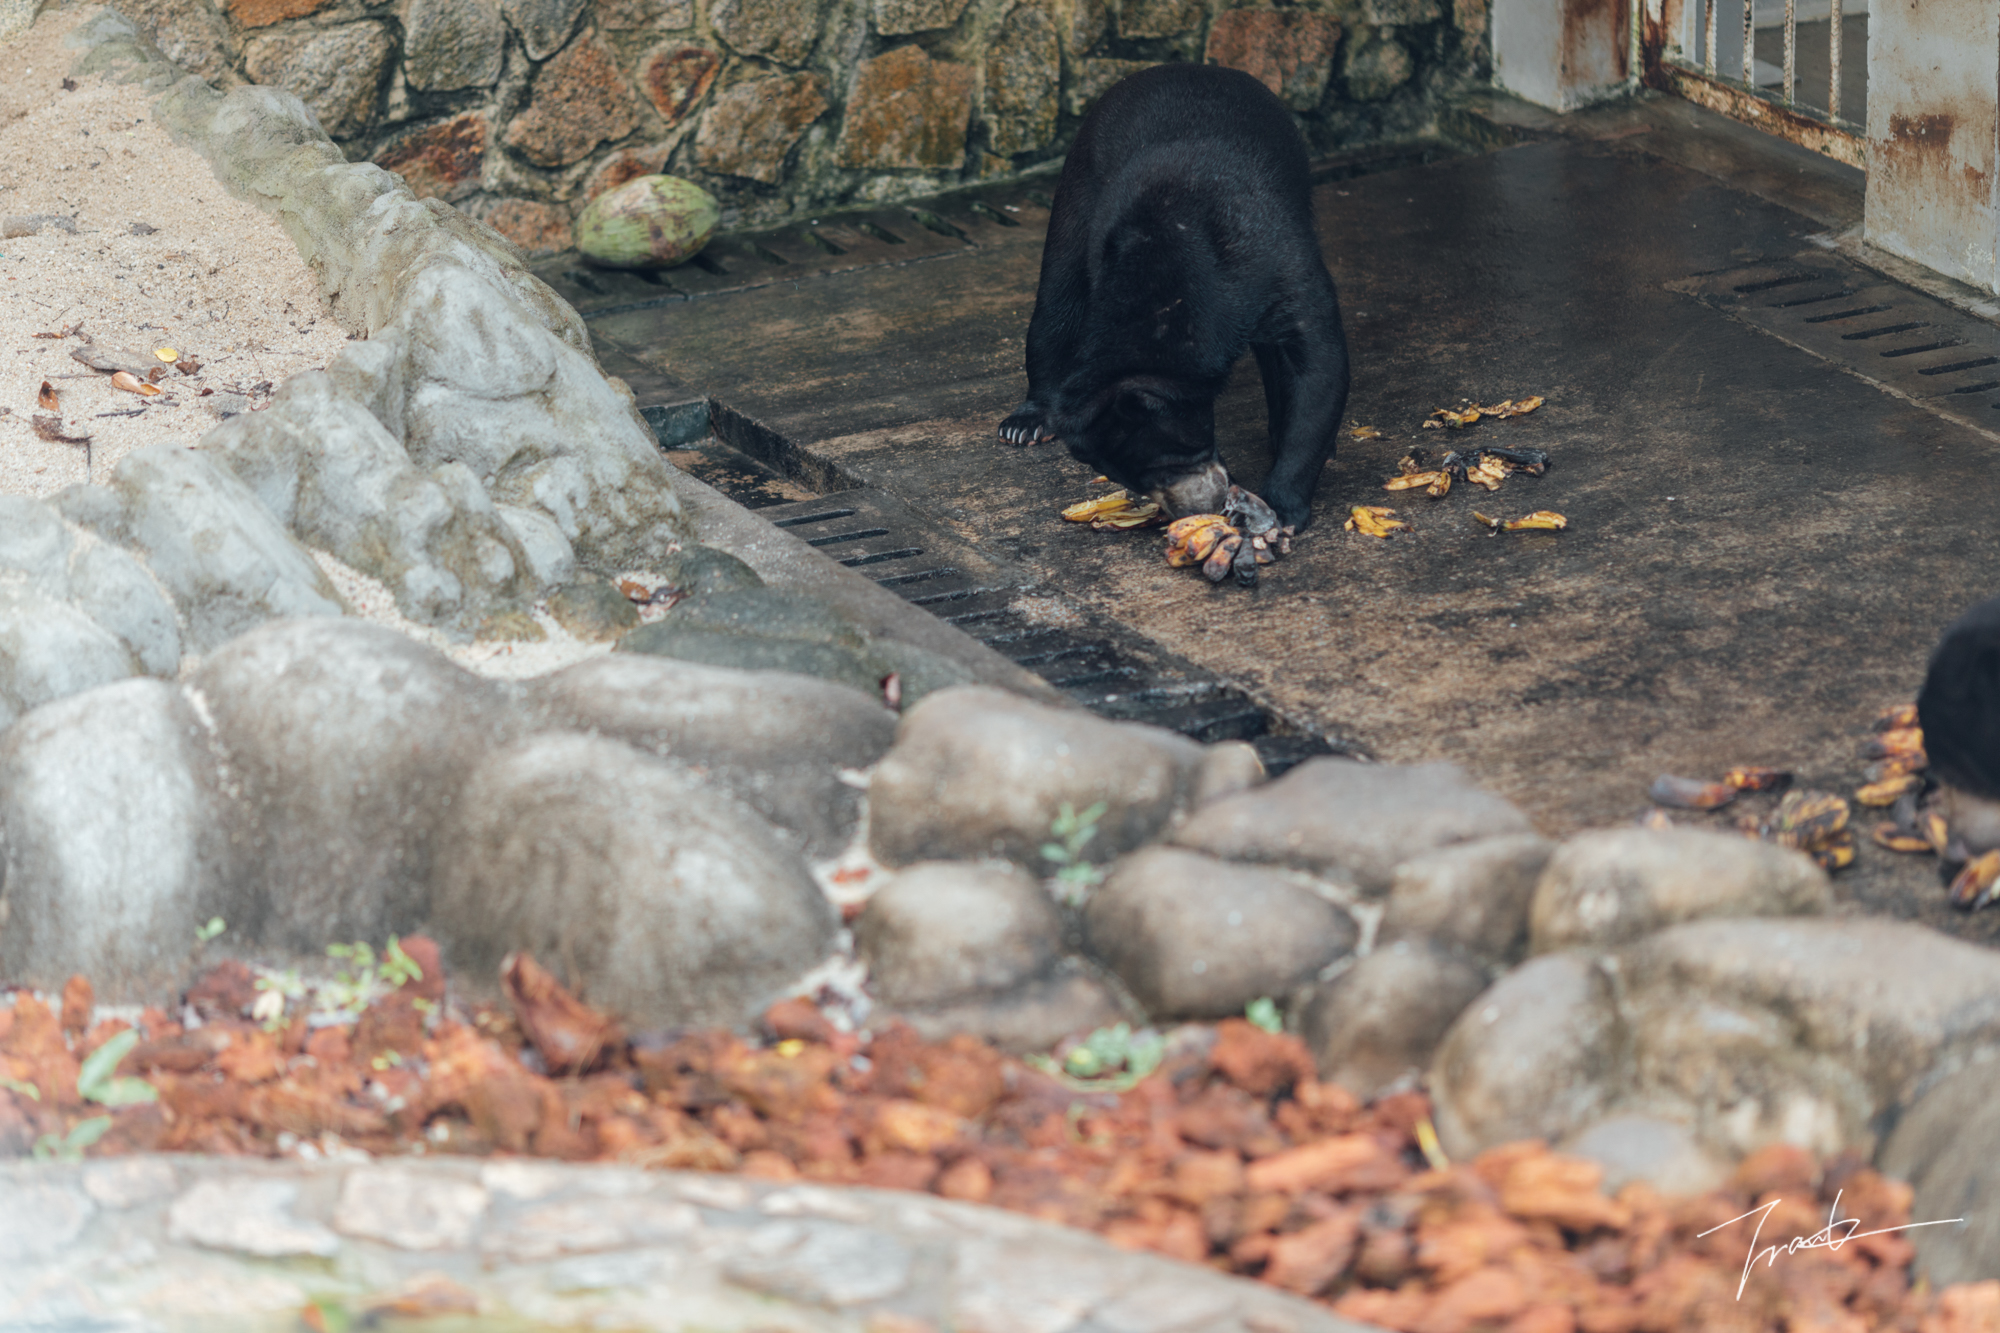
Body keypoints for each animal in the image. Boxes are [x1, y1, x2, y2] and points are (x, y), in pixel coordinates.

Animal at [1000, 62, 1360, 528]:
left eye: (1171, 461)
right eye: (1133, 479)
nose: (1194, 511)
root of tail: (1183, 65)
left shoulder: (1274, 259)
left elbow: (1317, 362)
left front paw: (1282, 505)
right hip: (1079, 182)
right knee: (1057, 297)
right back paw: (1025, 423)